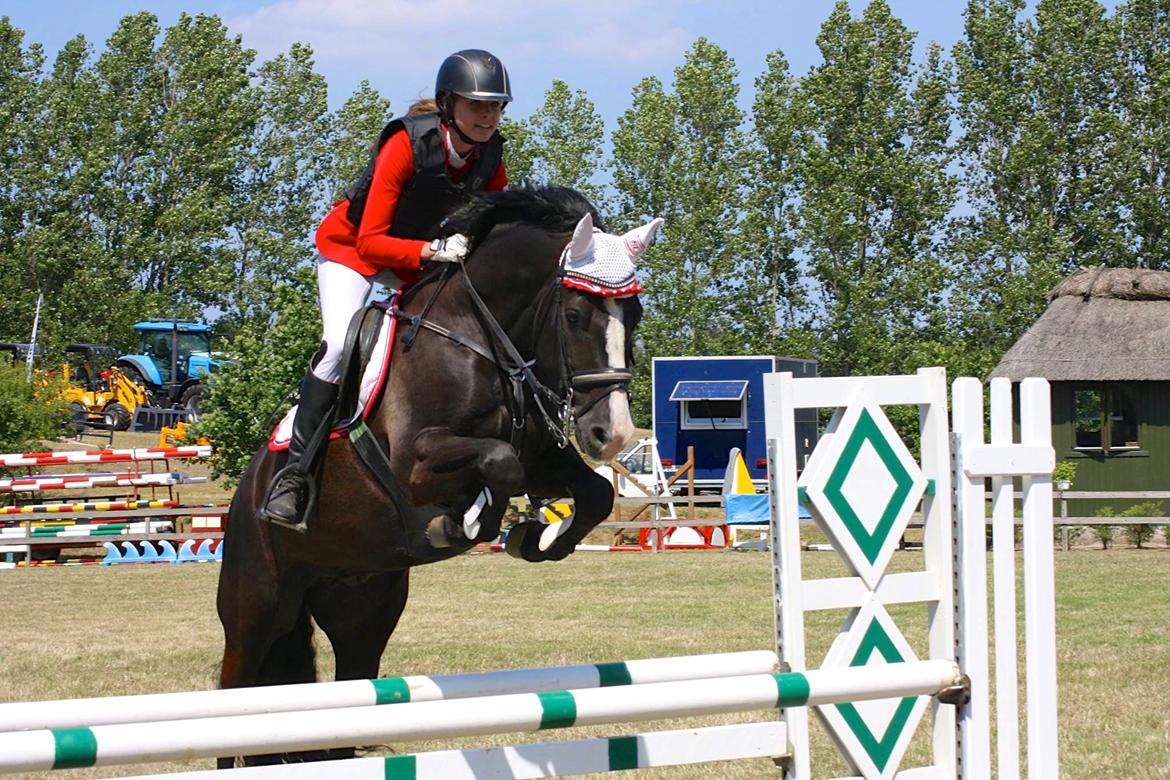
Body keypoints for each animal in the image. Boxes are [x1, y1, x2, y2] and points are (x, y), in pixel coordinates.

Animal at [216, 185, 664, 767]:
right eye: (573, 315)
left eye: (634, 314)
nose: (611, 433)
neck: (479, 337)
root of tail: (243, 499)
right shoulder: (416, 462)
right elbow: (499, 462)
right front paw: (463, 524)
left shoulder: (544, 458)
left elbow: (592, 492)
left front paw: (537, 539)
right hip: (256, 607)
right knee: (233, 698)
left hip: (362, 613)